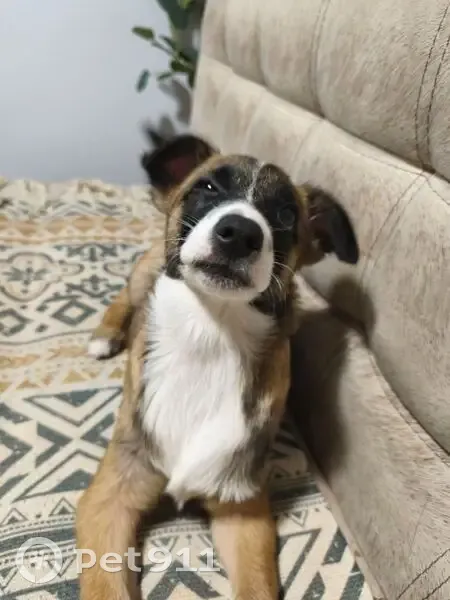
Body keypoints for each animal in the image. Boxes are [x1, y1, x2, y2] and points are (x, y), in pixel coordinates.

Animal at [76, 133, 359, 600]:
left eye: (286, 214)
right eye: (207, 188)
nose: (240, 233)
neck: (210, 332)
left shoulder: (241, 508)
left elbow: (257, 586)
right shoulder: (108, 497)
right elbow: (106, 586)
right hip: (144, 272)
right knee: (124, 298)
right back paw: (105, 336)